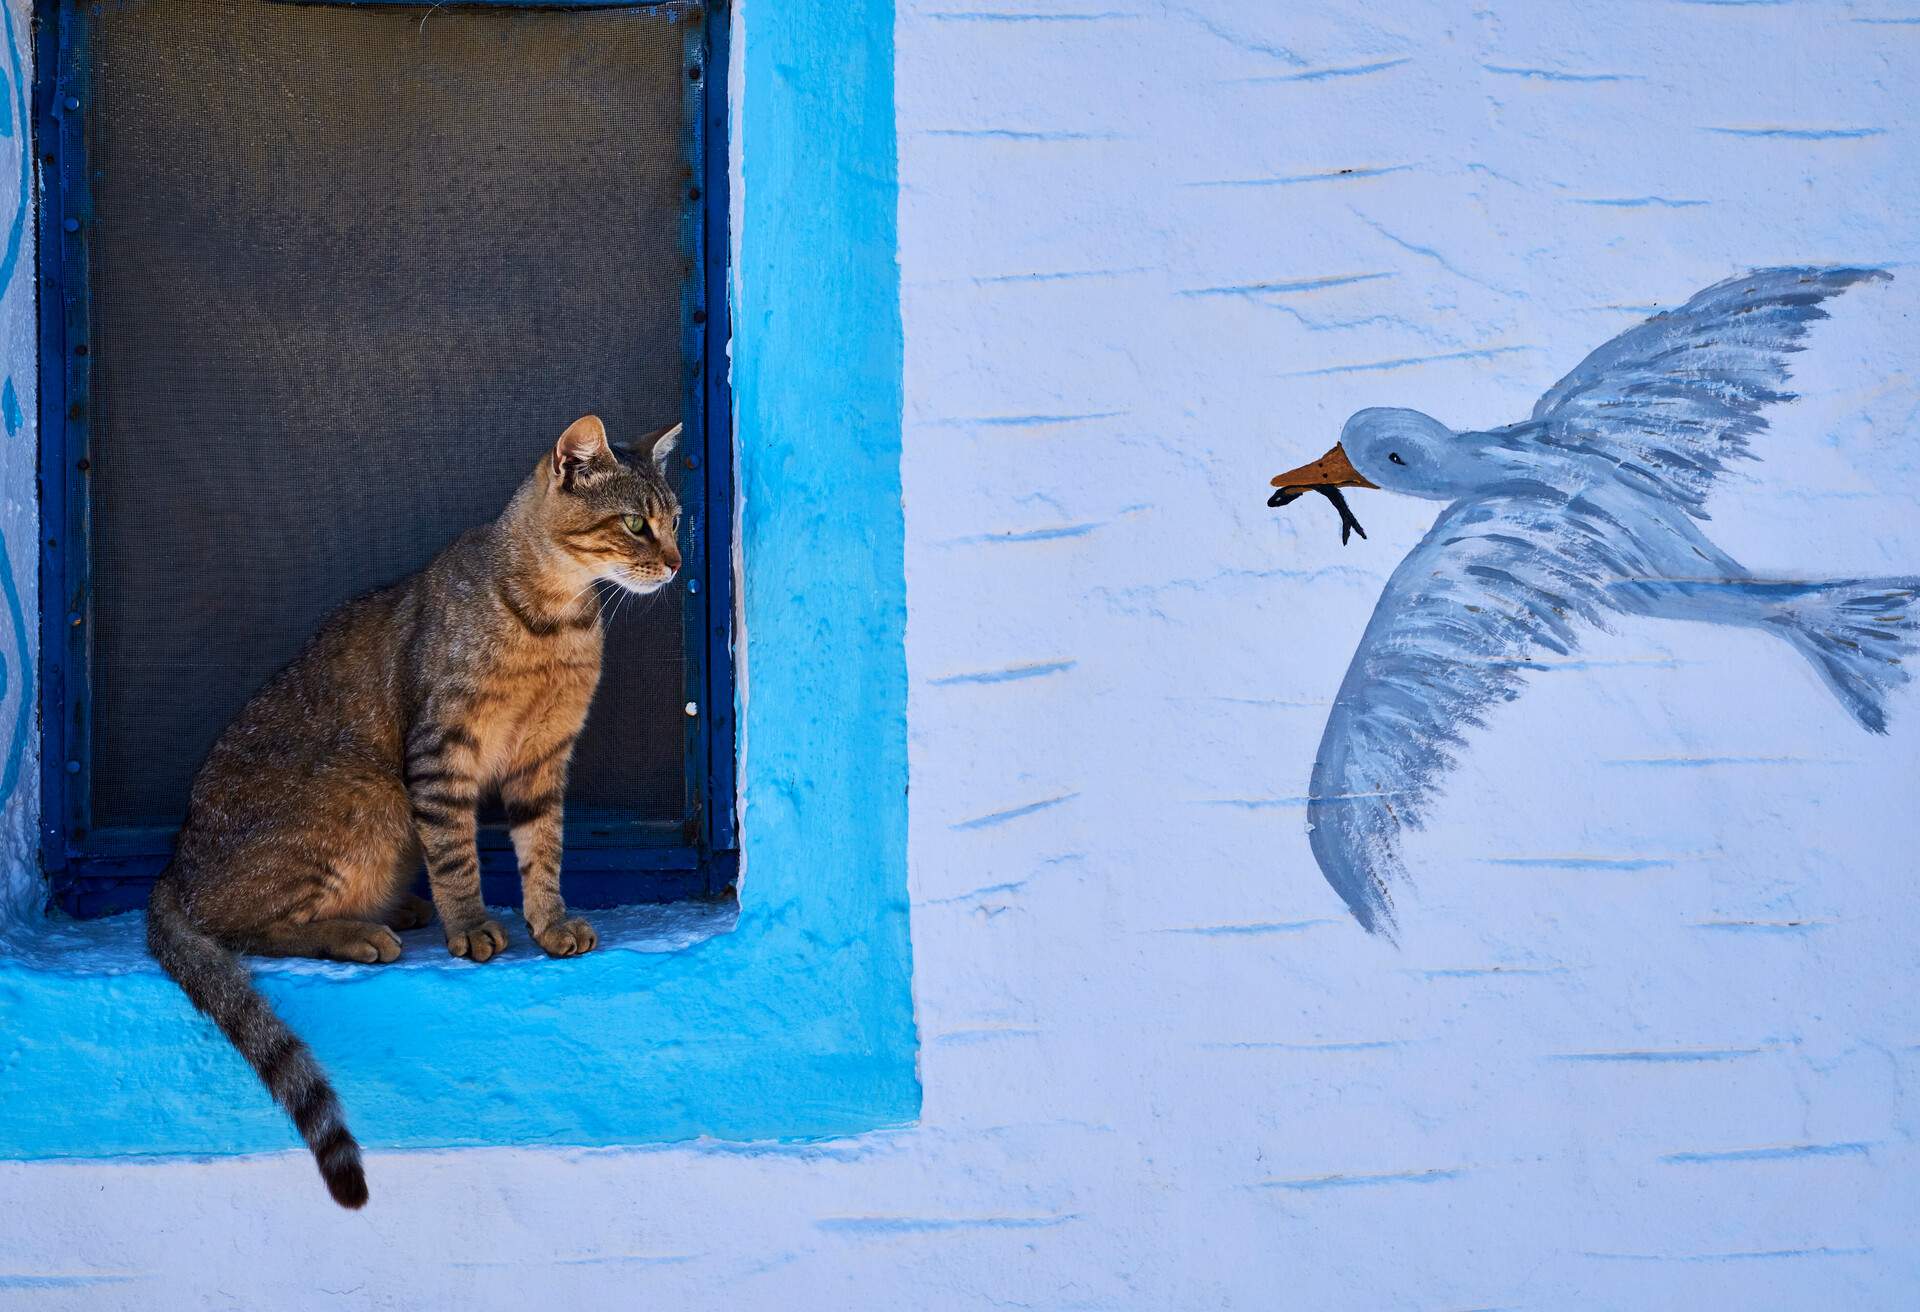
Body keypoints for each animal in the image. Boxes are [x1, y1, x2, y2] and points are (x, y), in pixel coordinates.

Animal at [145, 414, 683, 1206]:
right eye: (636, 523)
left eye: (677, 523)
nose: (677, 564)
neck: (556, 621)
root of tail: (172, 869)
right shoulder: (442, 754)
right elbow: (457, 856)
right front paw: (472, 927)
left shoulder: (544, 760)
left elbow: (544, 851)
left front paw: (549, 921)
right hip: (368, 793)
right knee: (244, 929)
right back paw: (357, 933)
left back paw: (394, 909)